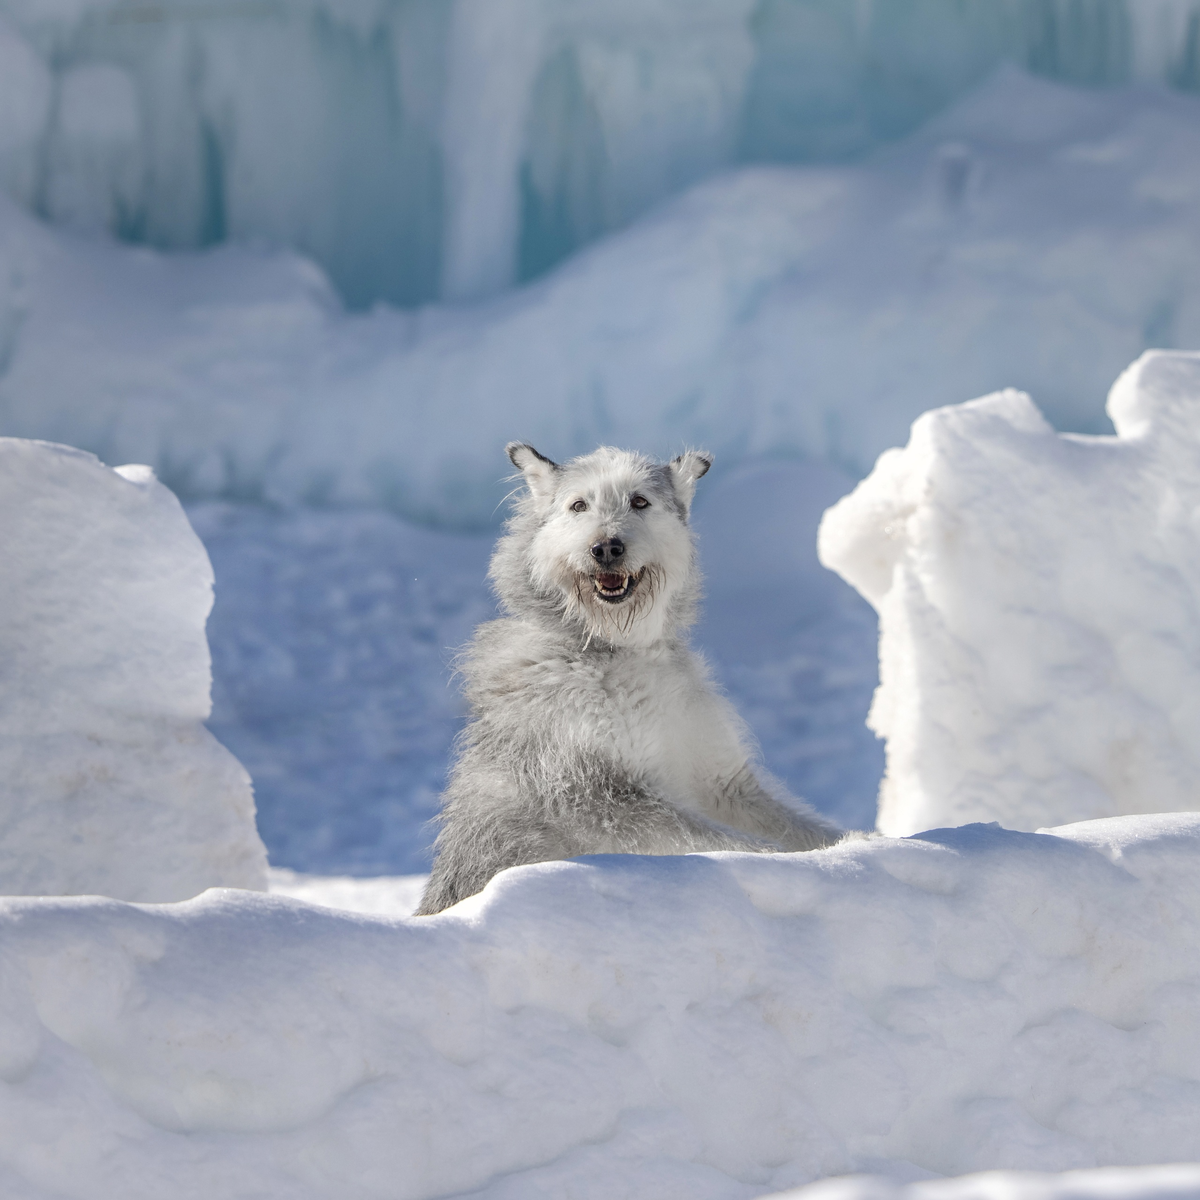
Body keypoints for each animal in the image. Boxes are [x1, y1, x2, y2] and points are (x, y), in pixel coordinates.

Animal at [417, 446, 840, 912]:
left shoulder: (723, 781)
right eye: (578, 506)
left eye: (639, 501)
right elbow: (737, 845)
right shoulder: (593, 792)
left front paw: (855, 846)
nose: (605, 548)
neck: (621, 651)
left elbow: (803, 830)